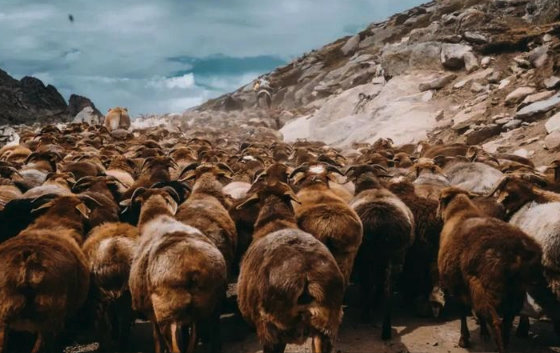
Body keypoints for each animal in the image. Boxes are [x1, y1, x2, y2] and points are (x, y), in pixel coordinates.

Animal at [126, 187, 226, 352]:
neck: (158, 217)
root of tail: (193, 269)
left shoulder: (152, 313)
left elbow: (157, 340)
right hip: (203, 309)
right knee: (197, 341)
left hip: (167, 312)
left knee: (174, 347)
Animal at [344, 165, 414, 338]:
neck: (371, 186)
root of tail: (380, 216)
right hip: (396, 254)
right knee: (388, 285)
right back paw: (386, 328)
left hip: (365, 255)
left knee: (367, 283)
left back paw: (366, 315)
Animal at [438, 186, 544, 350]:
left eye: (439, 200)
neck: (460, 213)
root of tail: (515, 251)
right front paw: (483, 332)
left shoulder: (457, 285)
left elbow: (462, 311)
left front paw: (464, 339)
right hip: (514, 291)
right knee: (507, 320)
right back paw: (506, 342)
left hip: (486, 288)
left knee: (496, 323)